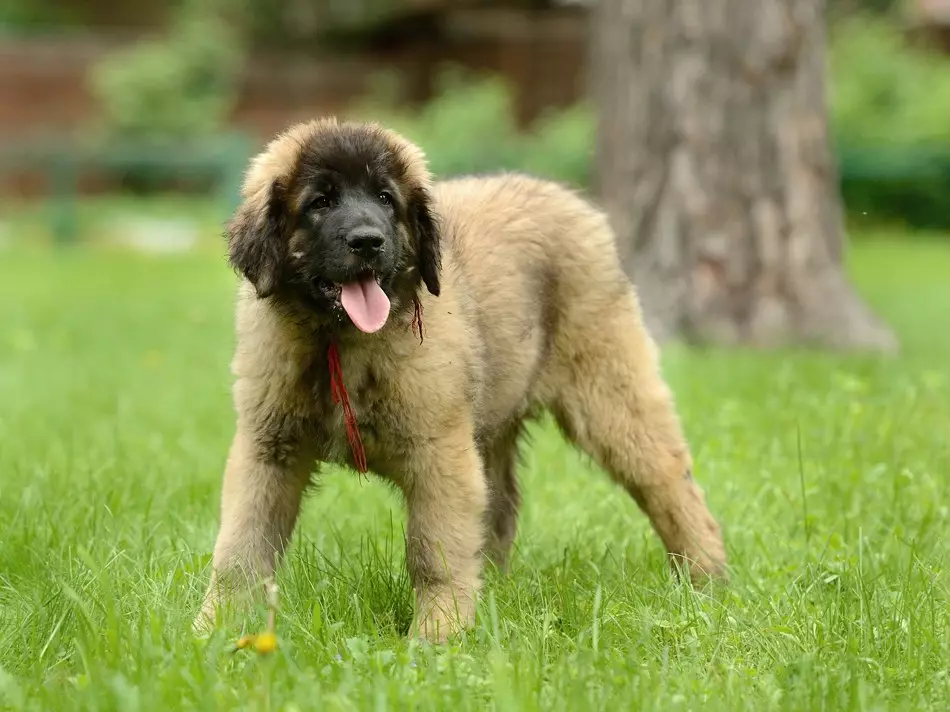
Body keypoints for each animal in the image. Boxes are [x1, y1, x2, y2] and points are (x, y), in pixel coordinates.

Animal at [195, 119, 728, 644]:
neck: (340, 344)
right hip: (493, 423)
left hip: (609, 391)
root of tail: (566, 197)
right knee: (501, 508)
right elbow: (241, 548)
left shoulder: (439, 452)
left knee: (667, 479)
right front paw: (214, 629)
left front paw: (438, 635)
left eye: (385, 199)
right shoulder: (268, 449)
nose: (368, 241)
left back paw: (706, 579)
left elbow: (434, 551)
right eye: (320, 202)